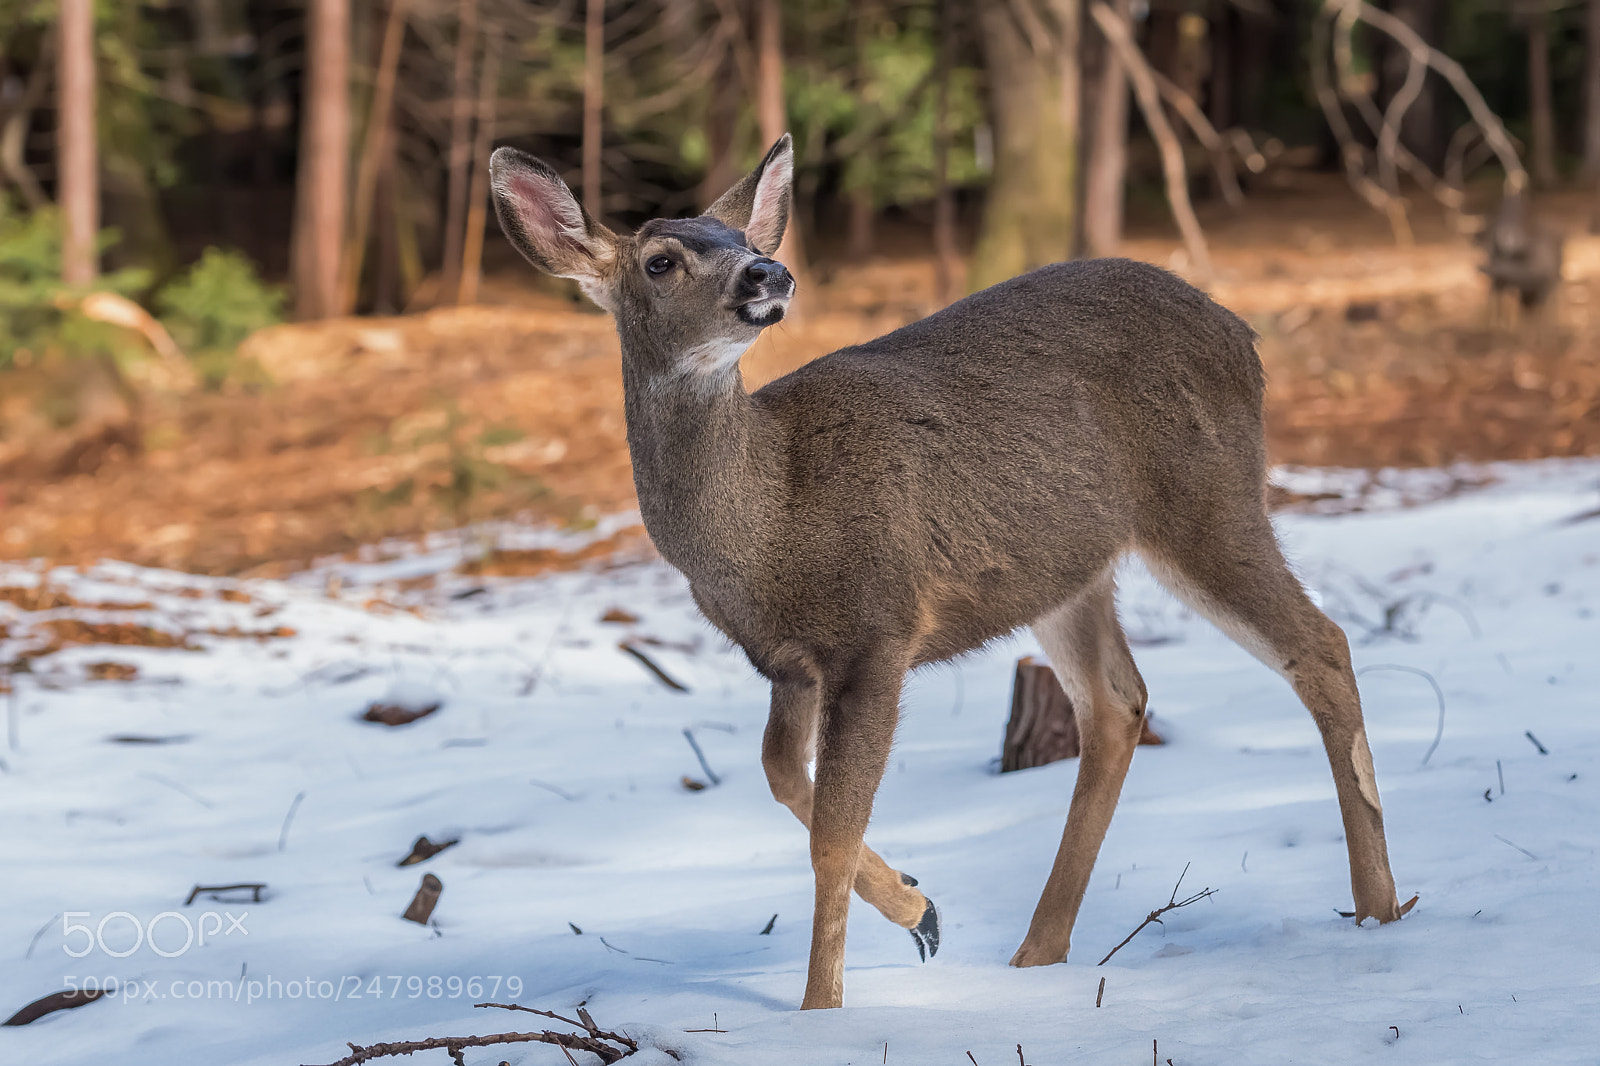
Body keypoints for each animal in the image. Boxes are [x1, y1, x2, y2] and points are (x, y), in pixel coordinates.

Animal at [488, 134, 1403, 1010]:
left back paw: (1378, 910)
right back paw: (1039, 953)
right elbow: (783, 776)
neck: (768, 523)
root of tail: (1242, 331)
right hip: (1064, 567)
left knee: (1319, 644)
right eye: (661, 260)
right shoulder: (789, 661)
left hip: (1205, 497)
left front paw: (822, 1011)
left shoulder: (877, 626)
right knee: (1118, 701)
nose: (768, 271)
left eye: (743, 240)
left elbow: (830, 833)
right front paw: (920, 908)